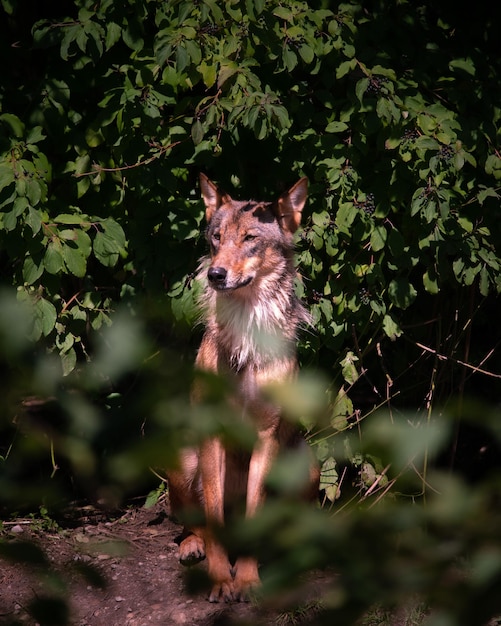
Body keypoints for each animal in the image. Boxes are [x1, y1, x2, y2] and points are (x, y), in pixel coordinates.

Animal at [166, 173, 318, 604]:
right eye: (216, 238)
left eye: (250, 238)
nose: (215, 275)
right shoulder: (211, 433)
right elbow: (213, 517)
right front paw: (221, 579)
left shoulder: (266, 437)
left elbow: (257, 514)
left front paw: (247, 580)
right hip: (182, 458)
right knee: (194, 525)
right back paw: (192, 547)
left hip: (307, 463)